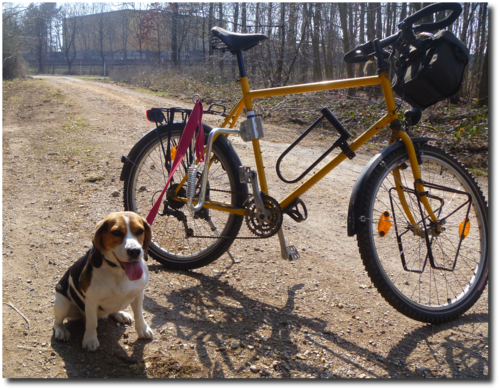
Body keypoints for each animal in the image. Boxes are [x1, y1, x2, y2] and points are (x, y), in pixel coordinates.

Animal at [52, 212, 154, 352]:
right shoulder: (91, 301)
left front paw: (142, 330)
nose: (135, 251)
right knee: (57, 321)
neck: (119, 271)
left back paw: (120, 314)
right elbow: (91, 322)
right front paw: (90, 340)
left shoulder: (138, 294)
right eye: (116, 232)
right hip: (62, 302)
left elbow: (139, 314)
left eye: (140, 231)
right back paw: (61, 331)